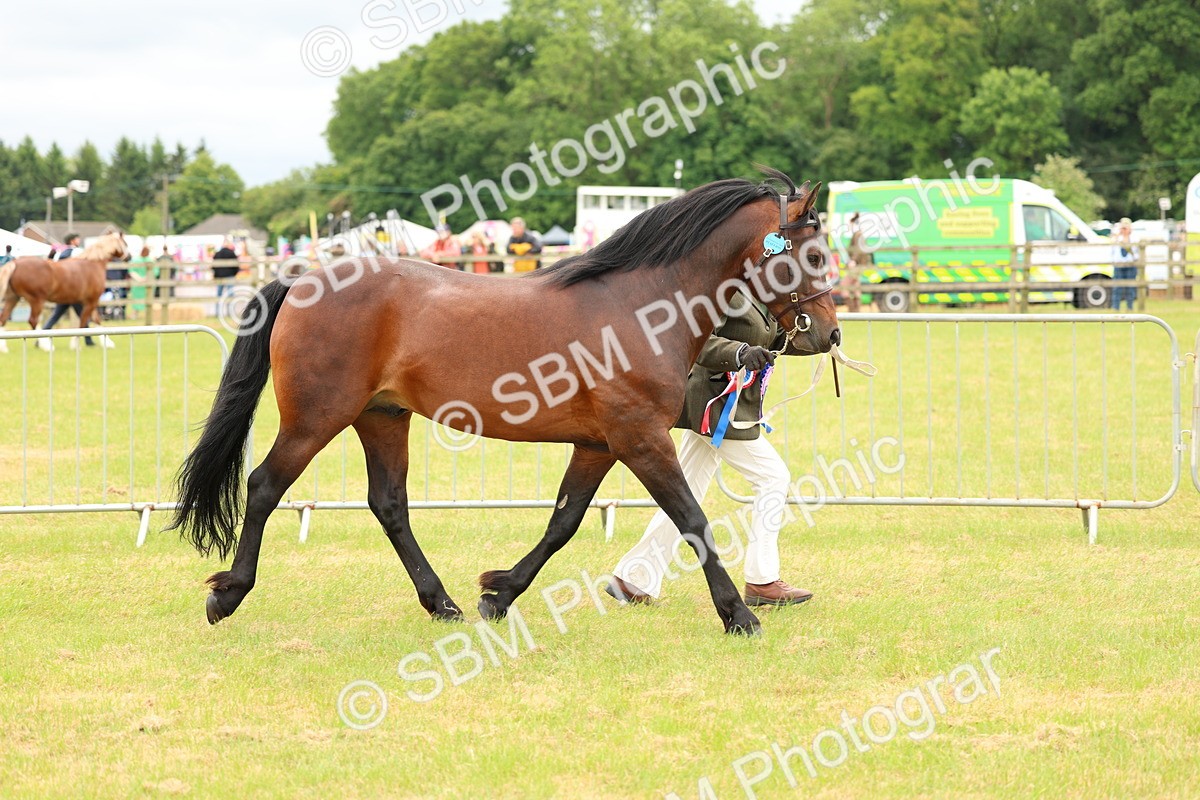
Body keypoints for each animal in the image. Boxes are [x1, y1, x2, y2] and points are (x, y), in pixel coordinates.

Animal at [0, 231, 129, 350]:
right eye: (125, 243)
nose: (129, 257)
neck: (92, 263)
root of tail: (15, 263)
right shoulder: (92, 300)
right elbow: (84, 322)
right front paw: (77, 344)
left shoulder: (82, 301)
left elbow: (94, 320)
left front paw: (107, 343)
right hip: (36, 300)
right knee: (33, 321)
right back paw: (46, 345)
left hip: (13, 298)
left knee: (3, 319)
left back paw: (4, 348)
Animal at [169, 167, 841, 636]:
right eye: (811, 253)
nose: (830, 335)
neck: (641, 305)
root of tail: (303, 279)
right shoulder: (640, 439)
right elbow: (694, 522)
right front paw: (738, 615)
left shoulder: (599, 444)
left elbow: (563, 522)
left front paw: (499, 593)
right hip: (316, 418)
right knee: (264, 486)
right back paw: (228, 594)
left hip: (381, 418)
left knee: (389, 504)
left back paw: (442, 602)